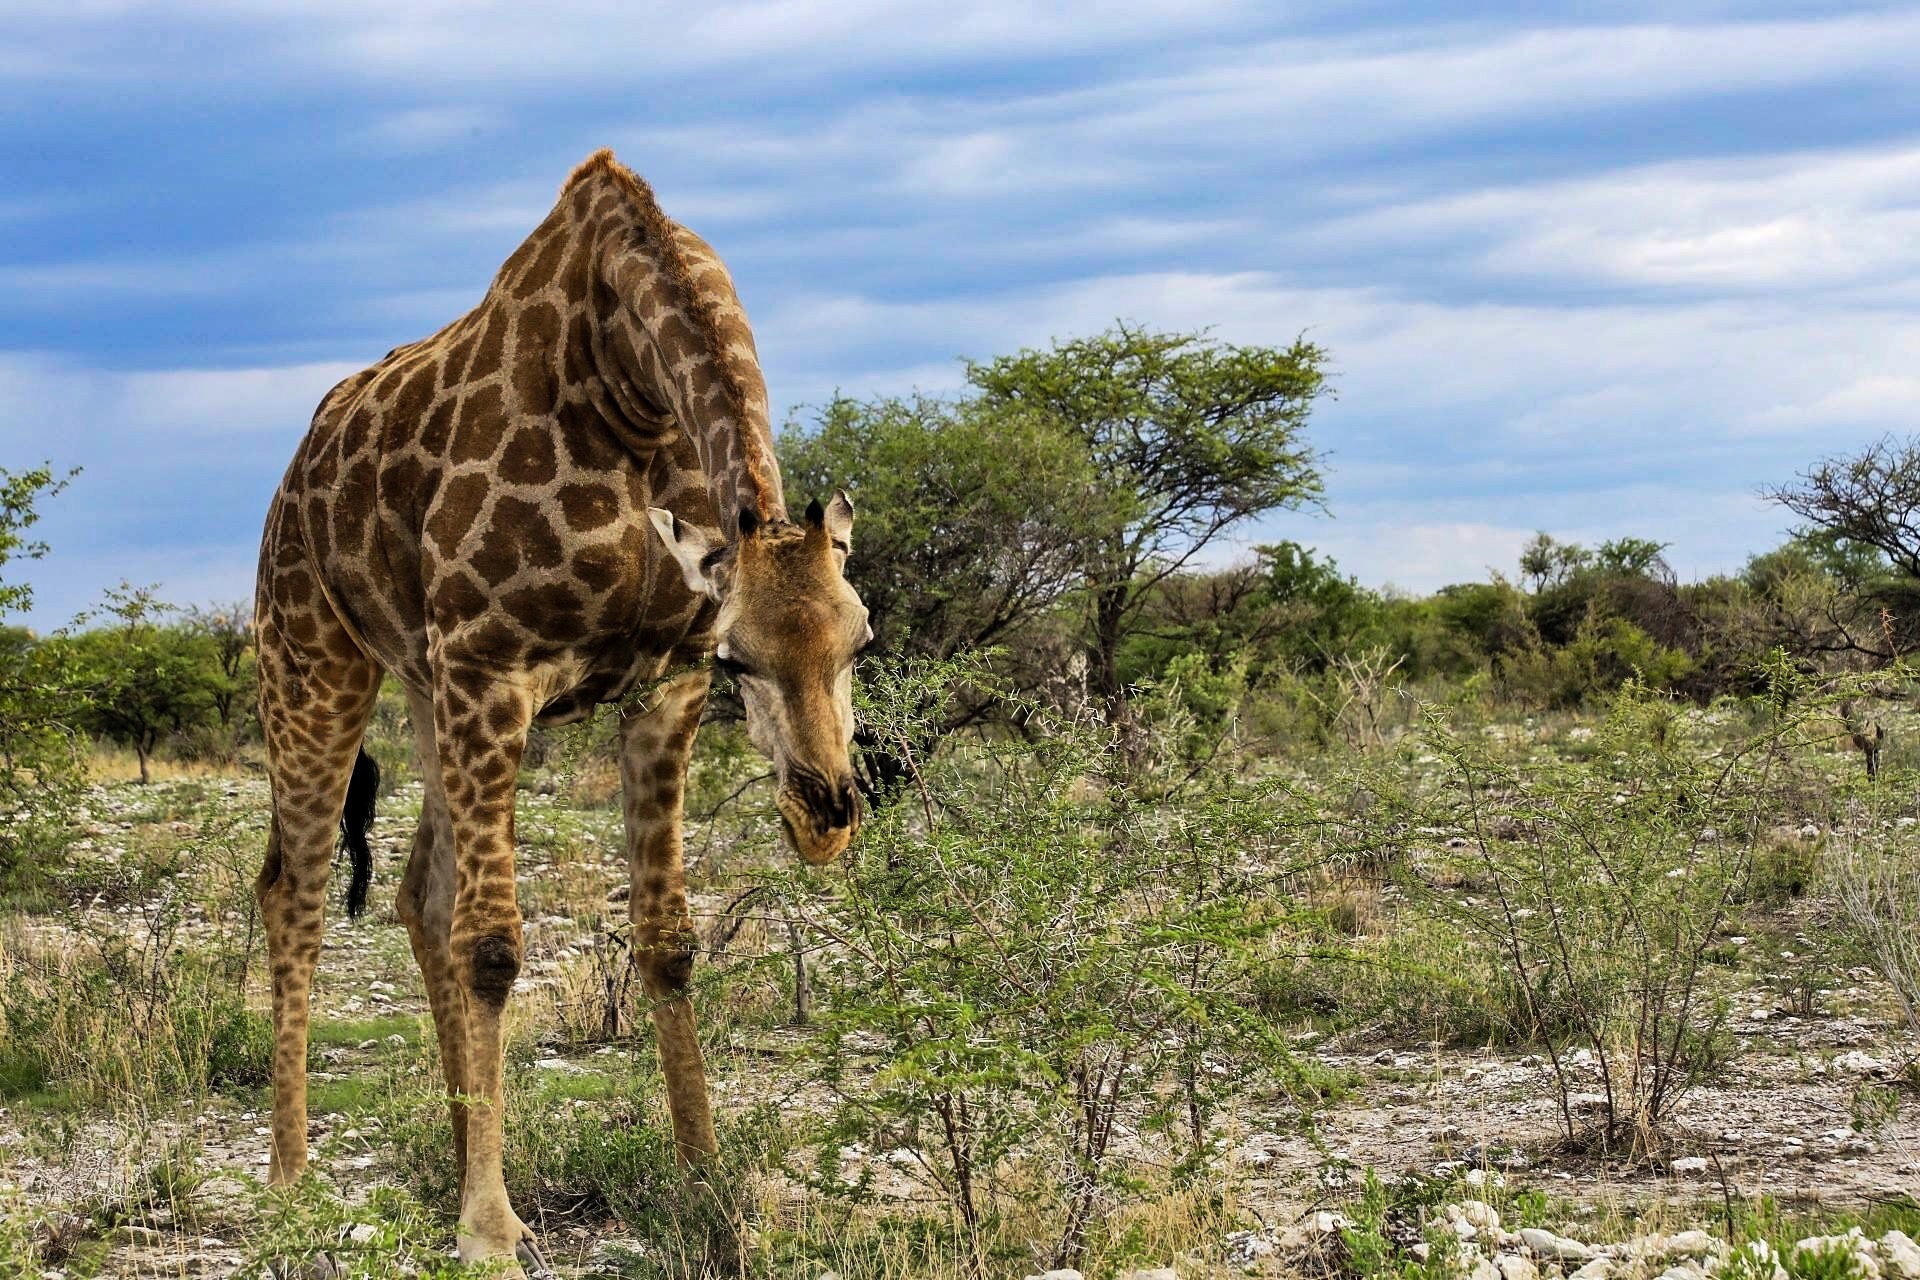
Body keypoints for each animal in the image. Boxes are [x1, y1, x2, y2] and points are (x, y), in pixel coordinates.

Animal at [252, 149, 870, 1271]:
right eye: (741, 660)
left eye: (864, 640)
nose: (826, 816)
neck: (628, 388)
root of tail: (296, 473)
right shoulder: (495, 663)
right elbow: (498, 945)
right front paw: (491, 1226)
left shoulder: (657, 683)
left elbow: (667, 938)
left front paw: (706, 1178)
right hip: (313, 657)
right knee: (299, 890)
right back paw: (291, 1173)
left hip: (425, 686)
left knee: (421, 895)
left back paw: (458, 1149)